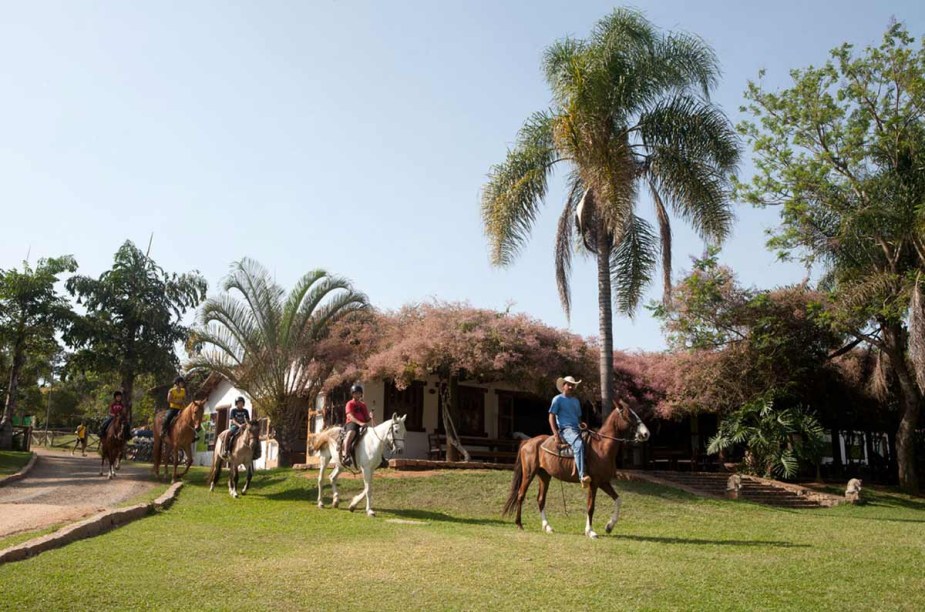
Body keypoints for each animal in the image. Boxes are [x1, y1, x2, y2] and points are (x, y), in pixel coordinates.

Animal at [506, 404, 648, 536]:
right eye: (630, 415)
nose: (646, 433)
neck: (601, 447)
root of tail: (528, 441)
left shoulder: (603, 482)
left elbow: (618, 500)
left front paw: (609, 526)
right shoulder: (593, 483)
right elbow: (590, 506)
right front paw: (590, 531)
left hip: (544, 476)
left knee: (541, 499)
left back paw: (547, 527)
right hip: (529, 474)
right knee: (521, 495)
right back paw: (519, 524)